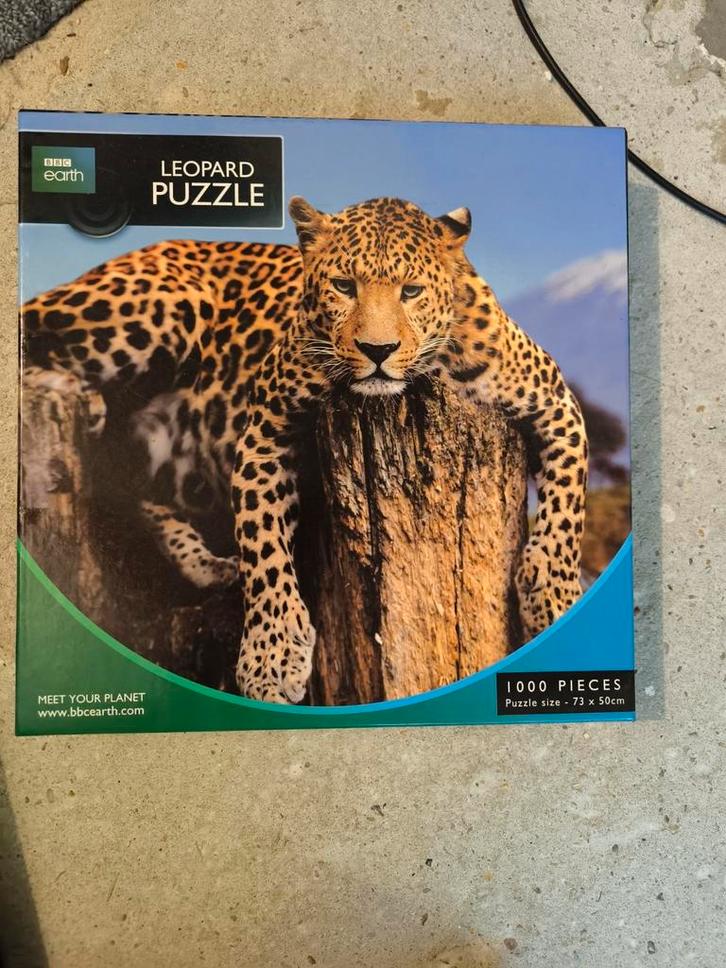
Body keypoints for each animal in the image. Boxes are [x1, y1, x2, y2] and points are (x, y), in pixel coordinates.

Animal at [21, 195, 588, 704]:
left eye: (410, 291)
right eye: (344, 286)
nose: (378, 351)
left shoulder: (557, 403)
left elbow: (567, 508)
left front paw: (554, 597)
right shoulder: (264, 430)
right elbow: (263, 544)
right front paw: (271, 659)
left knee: (137, 487)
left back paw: (206, 561)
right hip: (158, 305)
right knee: (32, 333)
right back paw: (69, 391)